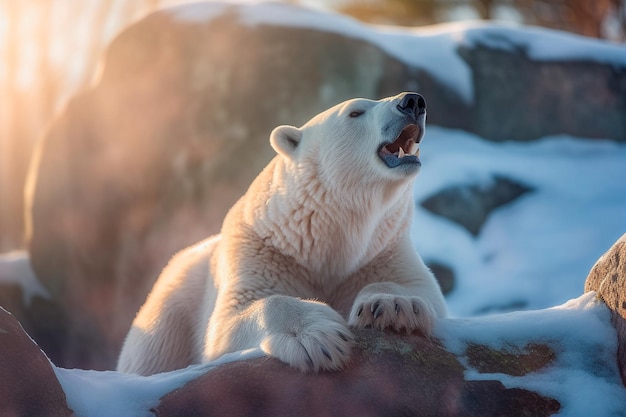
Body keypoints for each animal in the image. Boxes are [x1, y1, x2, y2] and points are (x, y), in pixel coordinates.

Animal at [117, 92, 446, 376]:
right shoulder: (262, 251)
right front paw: (318, 338)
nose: (413, 101)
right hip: (171, 307)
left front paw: (392, 306)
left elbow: (418, 289)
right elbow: (230, 321)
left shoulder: (380, 250)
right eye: (355, 112)